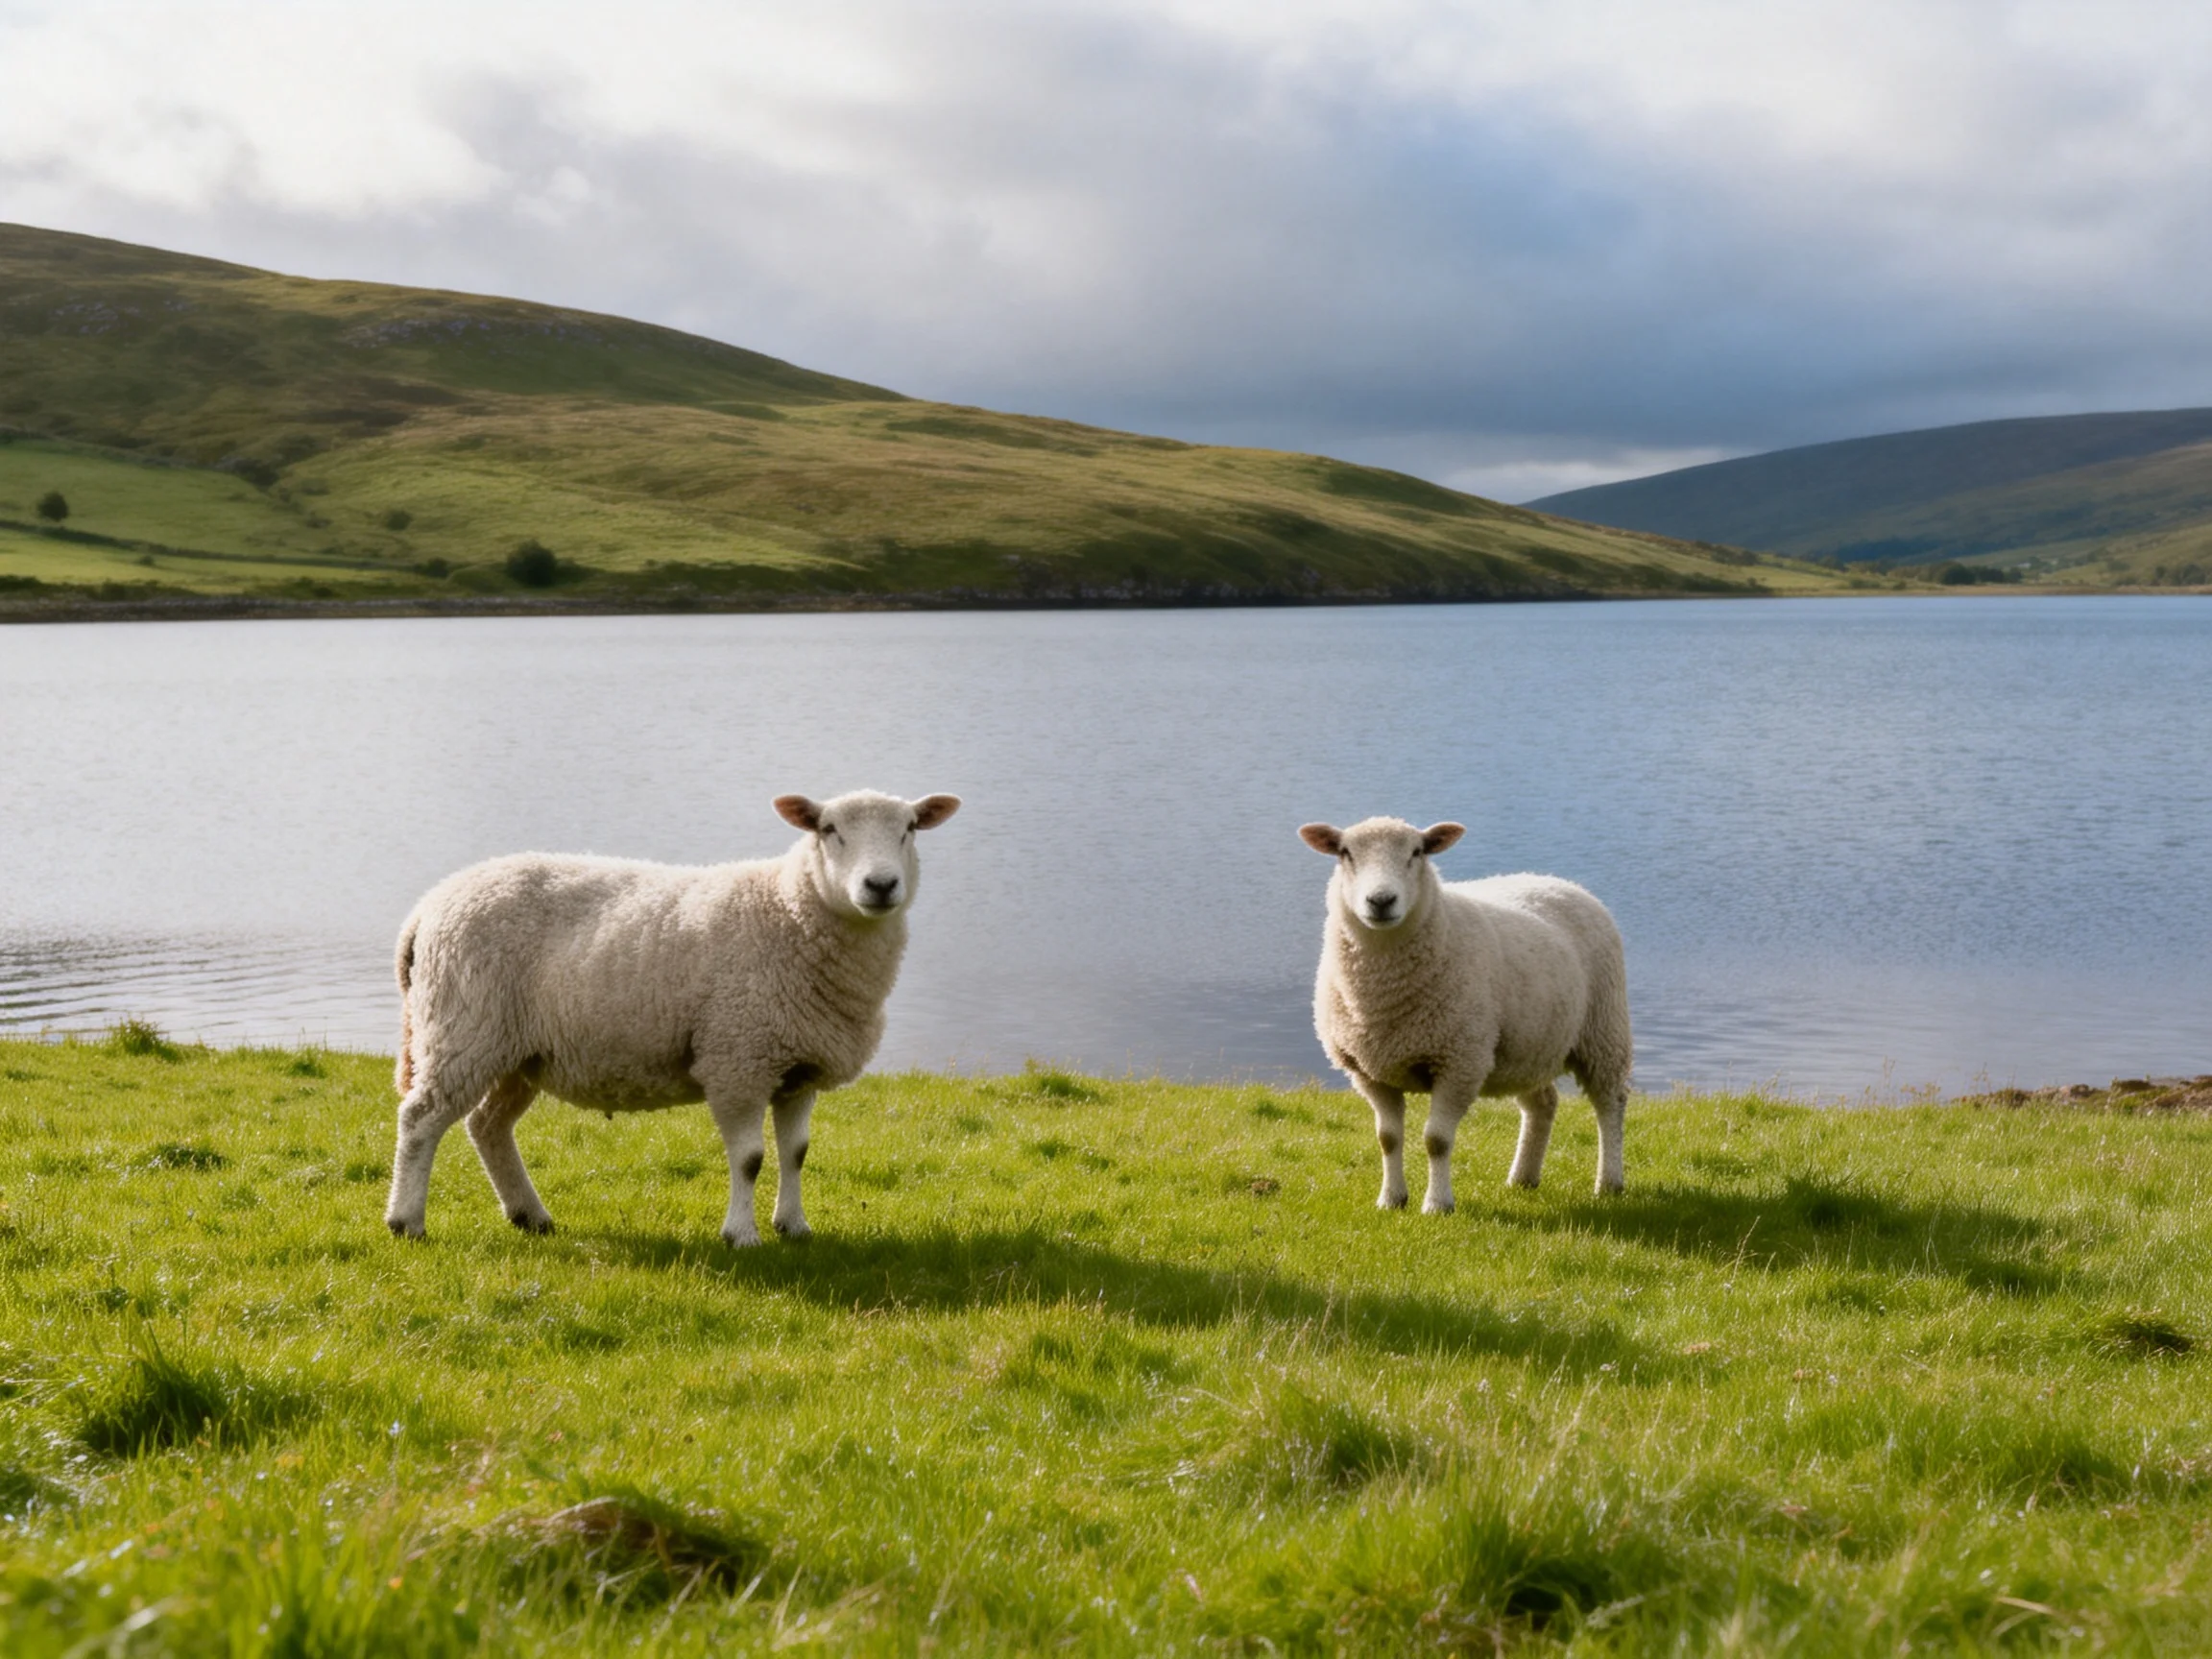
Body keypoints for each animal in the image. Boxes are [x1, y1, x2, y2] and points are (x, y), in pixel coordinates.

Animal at [383, 789, 961, 1245]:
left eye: (909, 829)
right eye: (828, 830)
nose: (880, 885)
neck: (787, 911)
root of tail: (427, 907)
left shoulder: (797, 1068)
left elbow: (795, 1152)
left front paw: (794, 1227)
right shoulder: (737, 1059)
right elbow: (750, 1158)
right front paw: (741, 1235)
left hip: (518, 1049)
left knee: (488, 1125)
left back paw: (530, 1215)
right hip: (464, 1027)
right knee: (421, 1118)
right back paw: (406, 1221)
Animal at [1298, 816, 1632, 1211]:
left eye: (1417, 852)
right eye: (1346, 853)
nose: (1381, 901)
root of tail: (1558, 881)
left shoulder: (1459, 1060)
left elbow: (1436, 1140)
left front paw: (1438, 1204)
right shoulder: (1369, 1070)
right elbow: (1388, 1138)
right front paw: (1391, 1199)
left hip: (1603, 1030)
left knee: (1610, 1103)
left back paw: (1609, 1182)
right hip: (1528, 1046)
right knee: (1542, 1104)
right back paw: (1522, 1179)